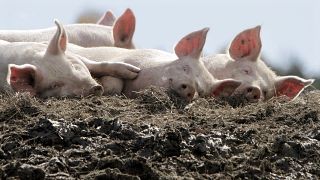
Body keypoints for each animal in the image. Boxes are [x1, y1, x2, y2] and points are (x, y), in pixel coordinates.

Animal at [0, 20, 140, 97]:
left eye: (73, 66)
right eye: (55, 85)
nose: (95, 87)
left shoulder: (73, 55)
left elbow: (96, 64)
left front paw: (134, 72)